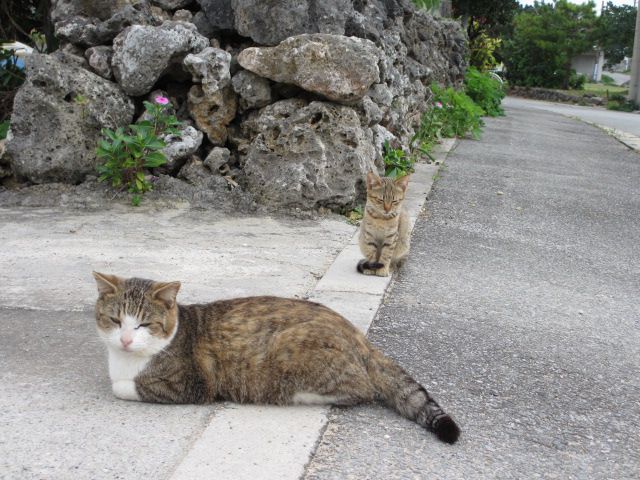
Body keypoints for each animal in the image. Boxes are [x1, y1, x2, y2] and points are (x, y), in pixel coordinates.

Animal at [91, 272, 460, 444]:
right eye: (115, 320)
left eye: (144, 324)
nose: (125, 339)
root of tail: (359, 336)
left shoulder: (191, 385)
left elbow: (124, 386)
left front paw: (123, 383)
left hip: (290, 350)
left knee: (361, 388)